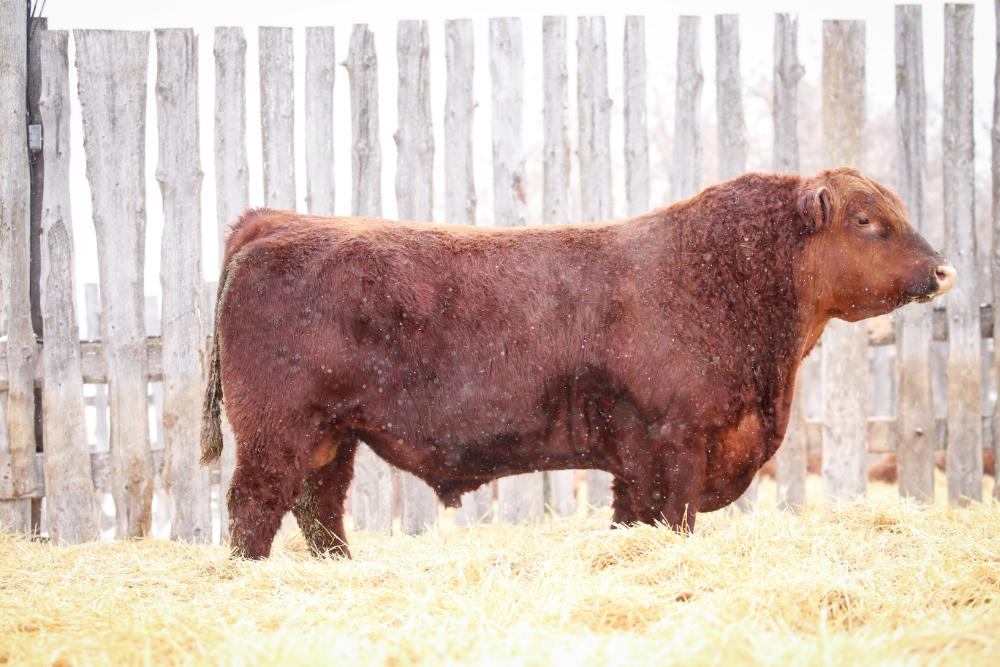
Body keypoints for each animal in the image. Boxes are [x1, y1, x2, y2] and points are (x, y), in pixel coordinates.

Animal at [200, 167, 955, 559]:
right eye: (866, 220)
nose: (943, 269)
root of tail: (275, 223)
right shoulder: (675, 444)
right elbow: (673, 518)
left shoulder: (635, 460)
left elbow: (632, 519)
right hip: (279, 431)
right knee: (254, 505)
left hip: (332, 436)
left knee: (317, 507)